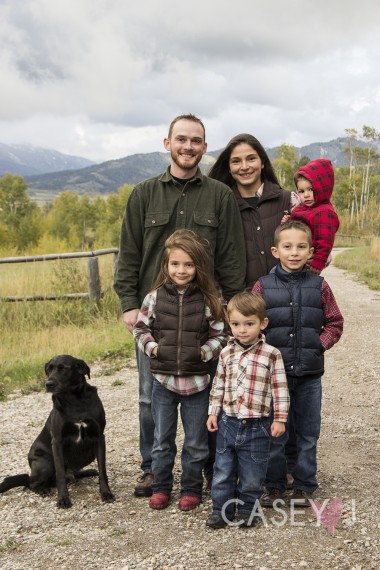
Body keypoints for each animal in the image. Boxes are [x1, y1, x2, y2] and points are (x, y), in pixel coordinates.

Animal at [0, 356, 115, 506]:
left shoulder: (99, 437)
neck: (74, 400)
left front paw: (106, 493)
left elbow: (103, 471)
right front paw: (63, 499)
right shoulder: (57, 442)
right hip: (45, 462)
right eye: (48, 369)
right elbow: (60, 474)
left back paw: (87, 472)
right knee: (31, 483)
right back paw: (43, 489)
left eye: (62, 368)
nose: (48, 384)